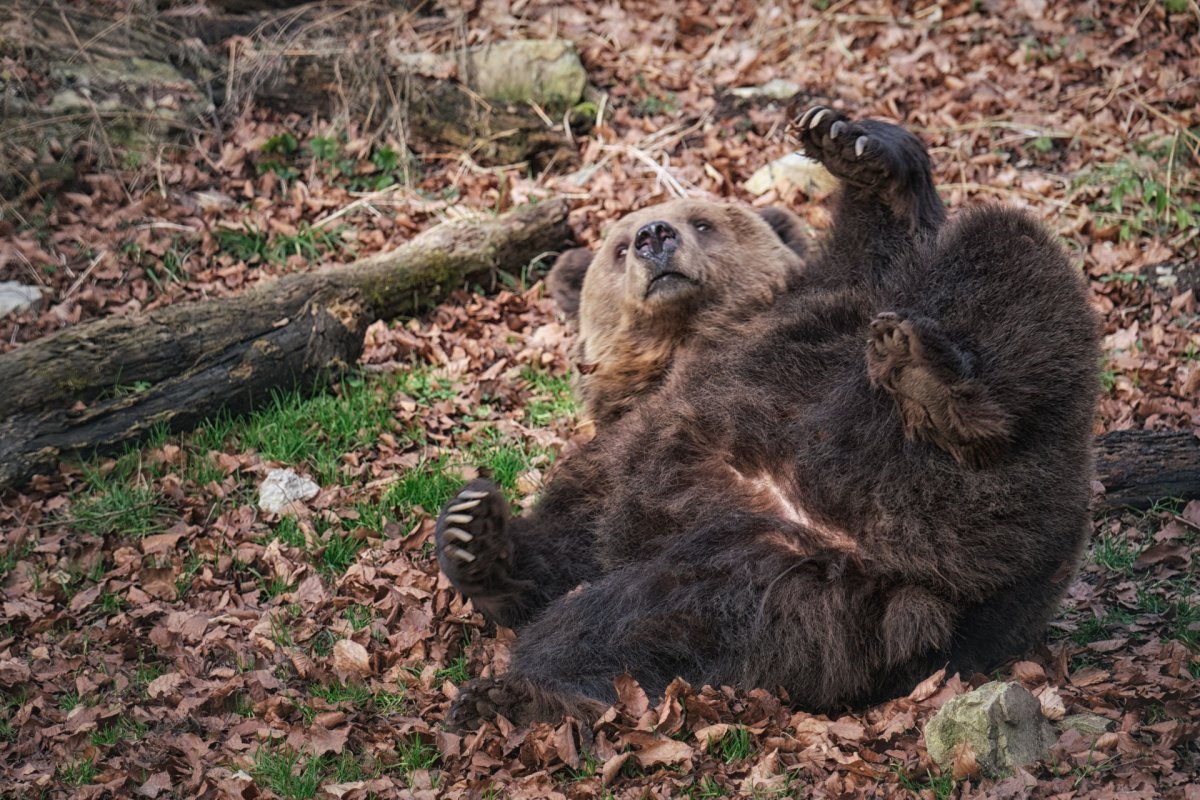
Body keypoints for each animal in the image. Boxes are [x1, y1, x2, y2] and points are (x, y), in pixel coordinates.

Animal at [435, 106, 1100, 730]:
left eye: (703, 221)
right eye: (618, 246)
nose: (654, 235)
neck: (687, 342)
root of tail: (916, 575)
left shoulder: (820, 307)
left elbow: (889, 243)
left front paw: (851, 145)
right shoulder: (613, 453)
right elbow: (569, 544)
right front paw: (471, 532)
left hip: (1017, 472)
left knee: (1005, 250)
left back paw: (937, 389)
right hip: (766, 588)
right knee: (623, 622)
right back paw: (514, 691)